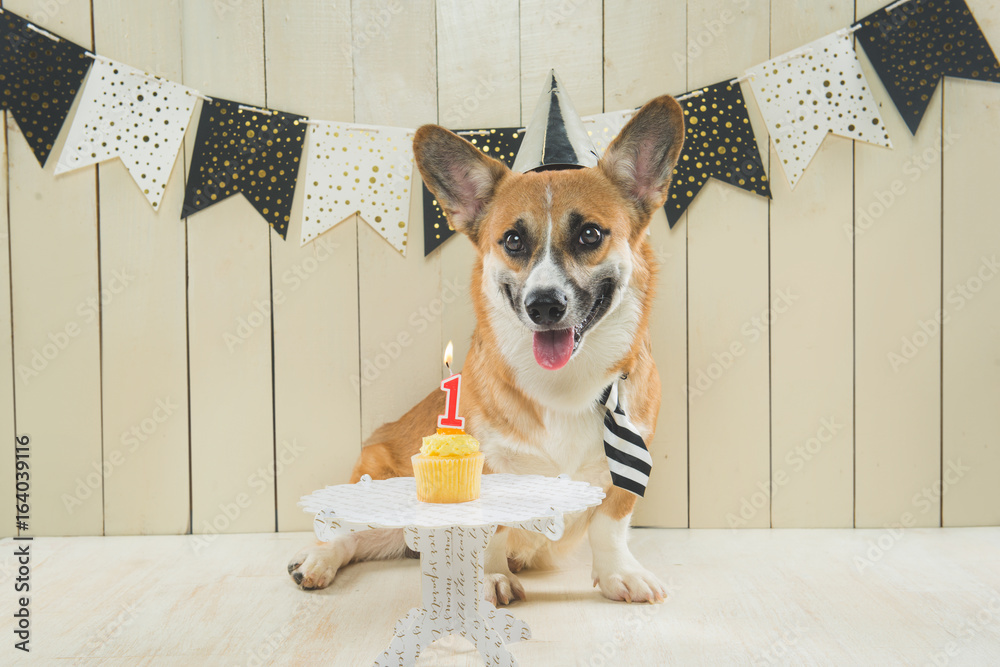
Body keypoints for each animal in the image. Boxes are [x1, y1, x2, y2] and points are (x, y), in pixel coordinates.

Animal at [286, 92, 684, 604]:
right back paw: (314, 560)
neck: (565, 384)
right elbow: (489, 530)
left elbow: (609, 526)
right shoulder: (491, 468)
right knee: (344, 534)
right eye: (512, 240)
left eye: (590, 234)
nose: (544, 305)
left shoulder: (627, 468)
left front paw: (620, 574)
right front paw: (491, 579)